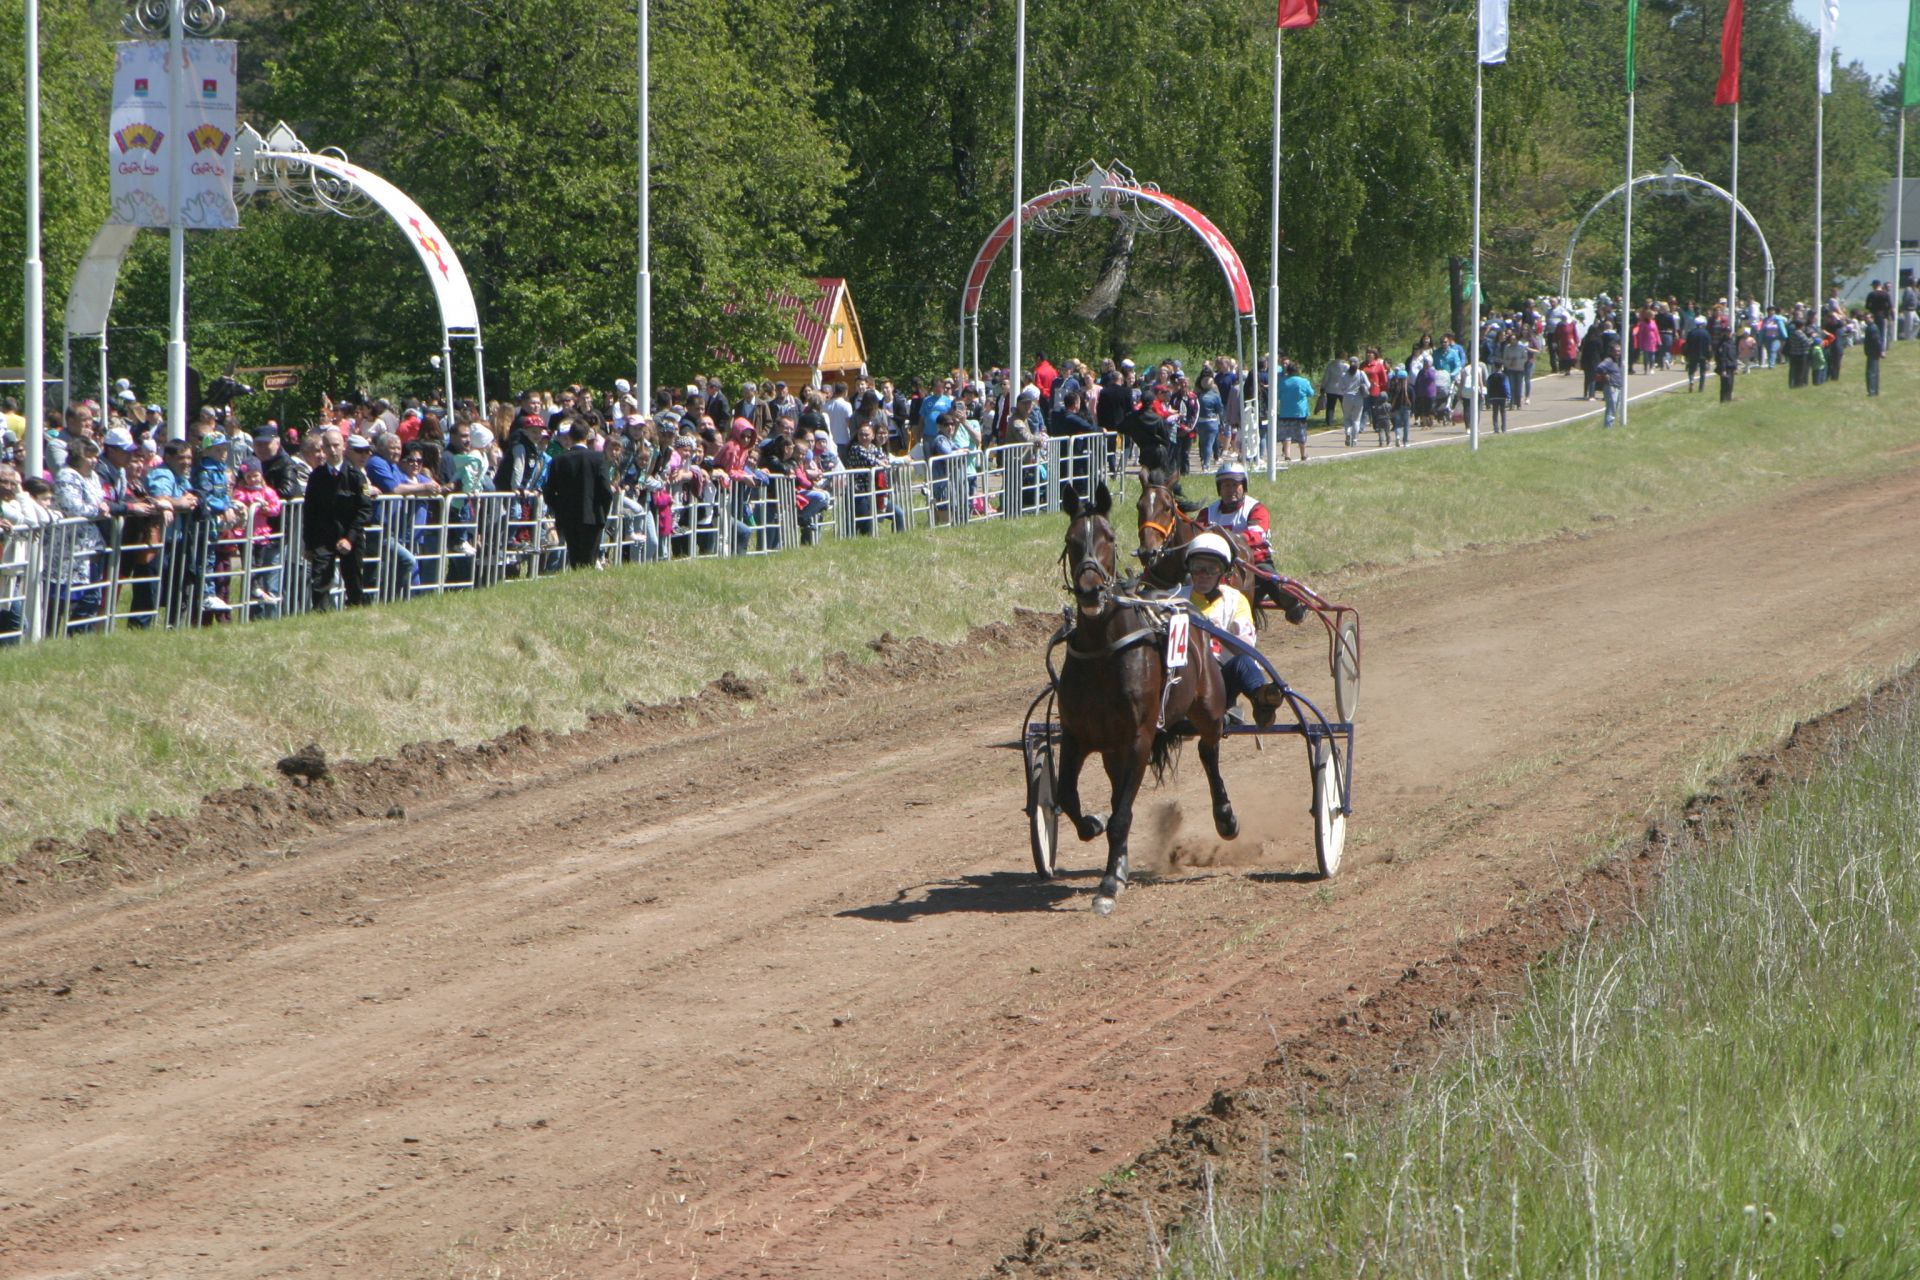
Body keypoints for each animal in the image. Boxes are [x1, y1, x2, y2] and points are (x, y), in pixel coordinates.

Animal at [1059, 479, 1236, 909]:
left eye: (1108, 537)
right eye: (1072, 540)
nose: (1090, 592)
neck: (1103, 649)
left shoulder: (1139, 737)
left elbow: (1122, 814)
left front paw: (1108, 884)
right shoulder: (1077, 736)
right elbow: (1067, 796)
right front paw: (1092, 824)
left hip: (1208, 706)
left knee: (1209, 750)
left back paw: (1225, 816)